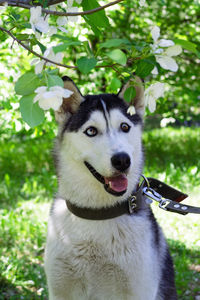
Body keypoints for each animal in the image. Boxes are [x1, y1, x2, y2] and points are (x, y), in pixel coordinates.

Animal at [44, 76, 177, 298]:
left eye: (125, 127)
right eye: (91, 131)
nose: (122, 160)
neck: (97, 214)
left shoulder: (140, 289)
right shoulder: (60, 290)